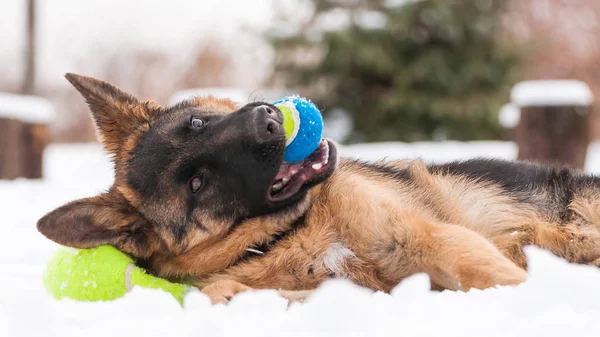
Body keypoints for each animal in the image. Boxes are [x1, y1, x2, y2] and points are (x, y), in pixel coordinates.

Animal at [36, 75, 600, 304]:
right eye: (198, 182)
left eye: (197, 122)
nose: (268, 120)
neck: (291, 231)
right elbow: (223, 291)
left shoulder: (432, 239)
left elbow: (493, 275)